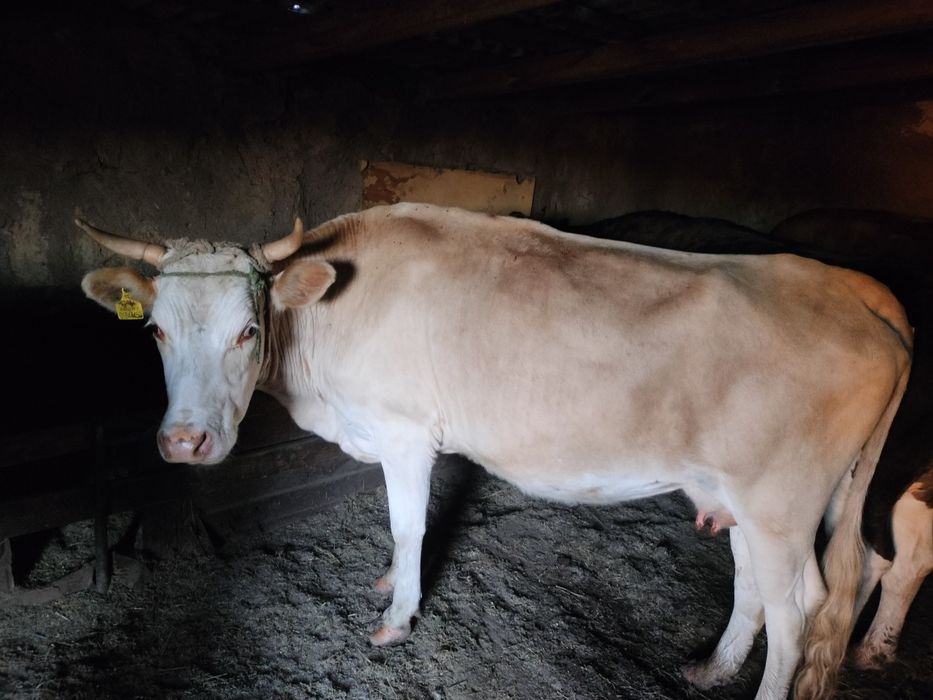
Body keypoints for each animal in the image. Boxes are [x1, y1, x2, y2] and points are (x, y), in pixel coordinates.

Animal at [78, 203, 912, 700]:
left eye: (246, 331)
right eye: (154, 329)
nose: (185, 441)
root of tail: (848, 285)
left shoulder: (405, 431)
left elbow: (407, 525)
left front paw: (397, 616)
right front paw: (390, 584)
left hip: (780, 502)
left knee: (800, 609)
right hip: (742, 495)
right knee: (767, 588)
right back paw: (712, 666)